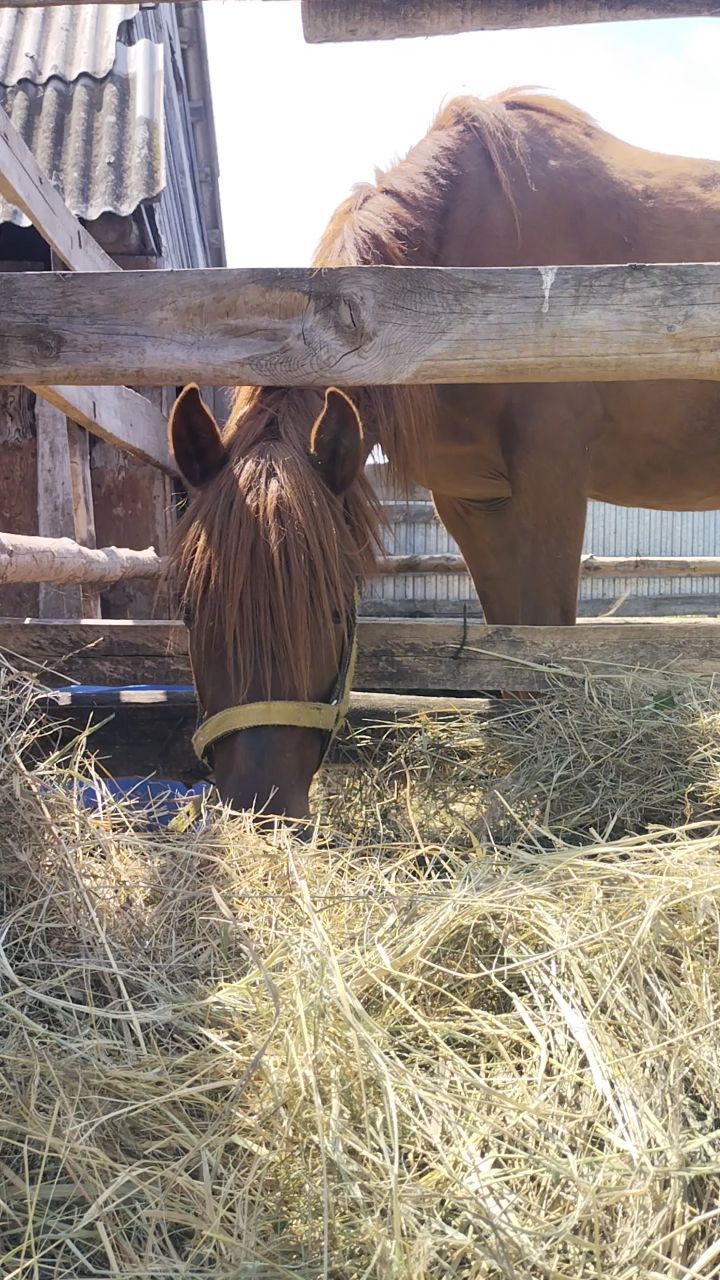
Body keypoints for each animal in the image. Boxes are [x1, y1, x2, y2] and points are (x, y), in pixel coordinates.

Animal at [169, 89, 720, 819]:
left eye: (337, 608)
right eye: (190, 607)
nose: (263, 806)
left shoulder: (551, 479)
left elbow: (543, 627)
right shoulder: (474, 500)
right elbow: (505, 630)